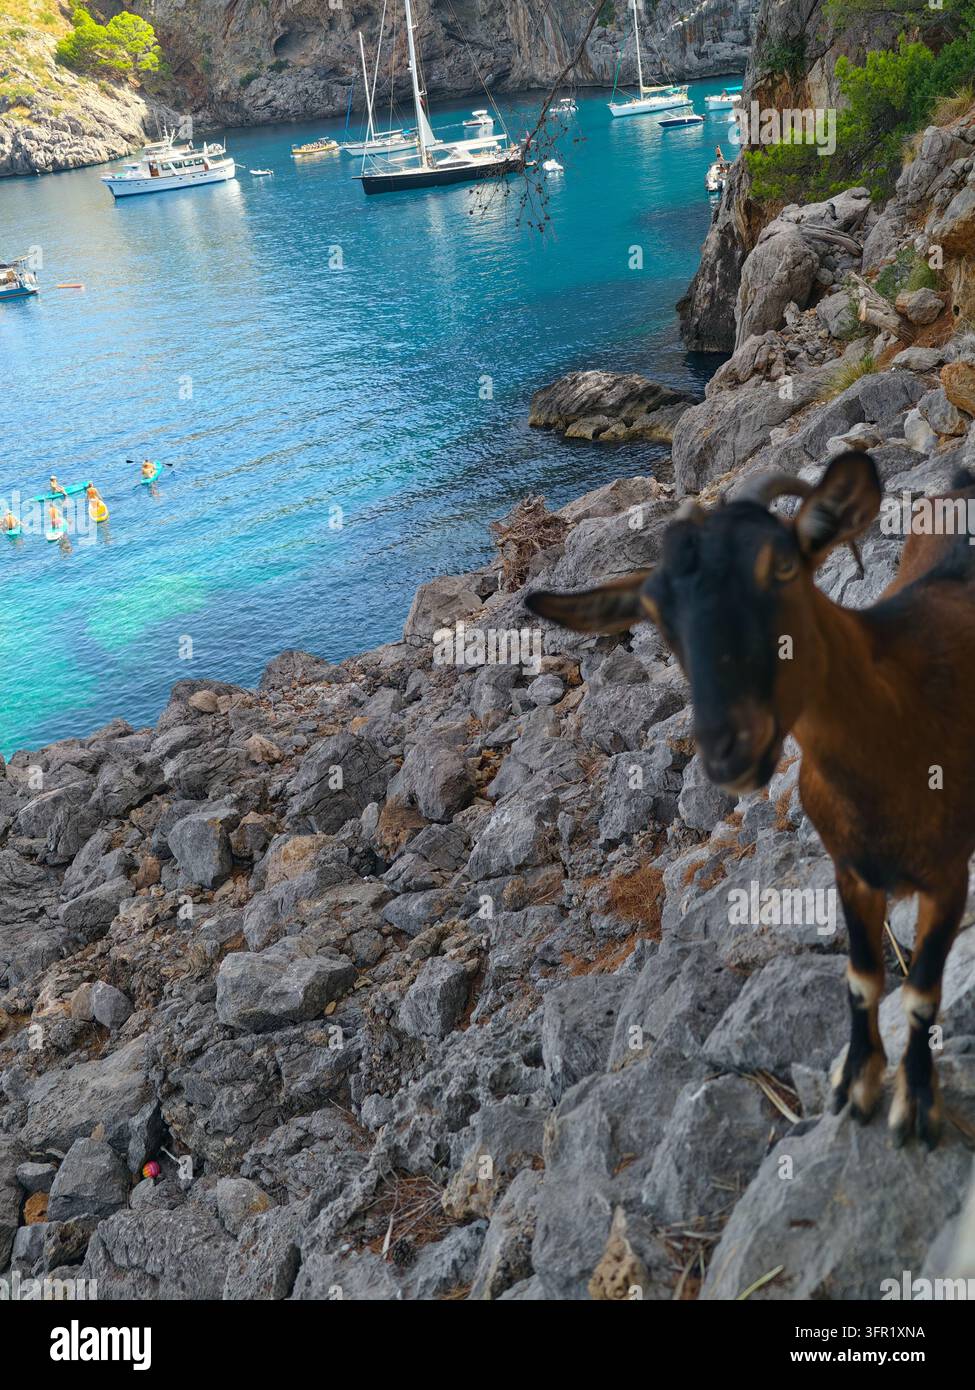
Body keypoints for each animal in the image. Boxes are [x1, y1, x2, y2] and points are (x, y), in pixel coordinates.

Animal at [527, 450, 975, 1149]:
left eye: (783, 566)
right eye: (657, 614)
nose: (727, 747)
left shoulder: (947, 876)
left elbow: (923, 990)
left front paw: (917, 1105)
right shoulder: (848, 870)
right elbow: (863, 977)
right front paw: (855, 1085)